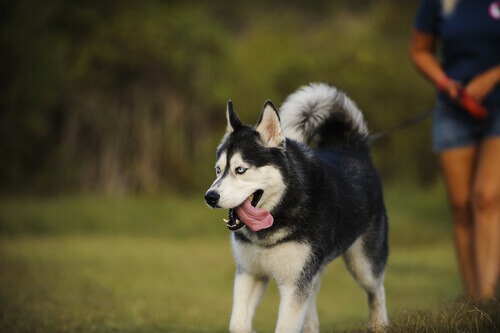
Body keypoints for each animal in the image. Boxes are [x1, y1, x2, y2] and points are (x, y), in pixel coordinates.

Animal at [205, 83, 388, 332]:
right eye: (218, 169)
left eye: (240, 170)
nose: (210, 197)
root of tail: (350, 147)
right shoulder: (250, 273)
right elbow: (237, 324)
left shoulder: (295, 284)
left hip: (363, 265)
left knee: (377, 290)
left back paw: (380, 324)